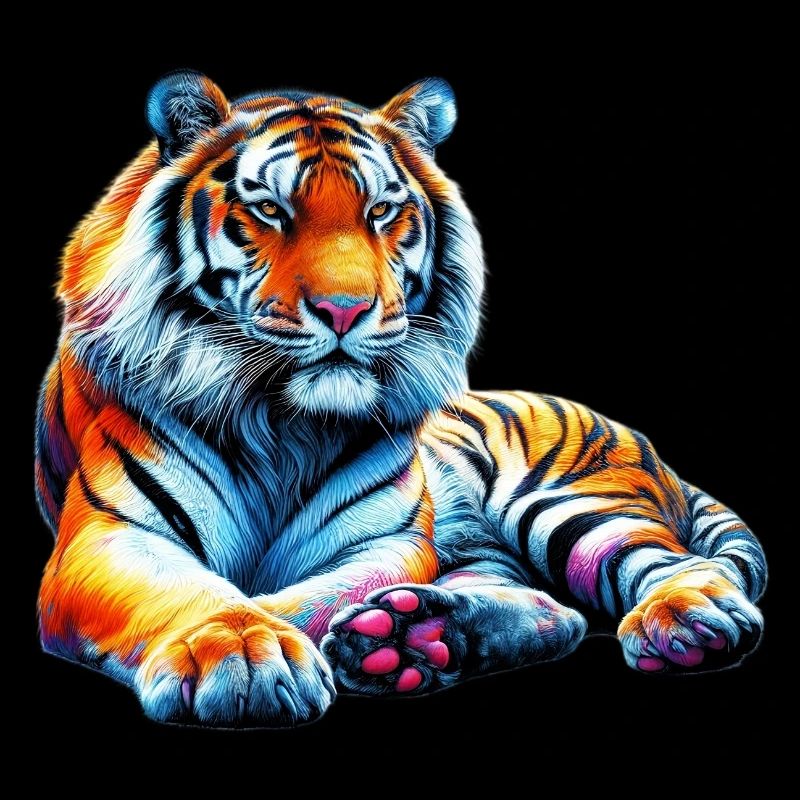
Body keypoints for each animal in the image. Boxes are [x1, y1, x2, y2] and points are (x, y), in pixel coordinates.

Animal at [36, 70, 767, 727]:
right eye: (270, 210)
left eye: (381, 211)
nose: (345, 309)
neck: (280, 424)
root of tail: (645, 442)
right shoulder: (112, 537)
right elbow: (208, 592)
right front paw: (244, 656)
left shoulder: (385, 542)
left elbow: (302, 599)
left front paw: (284, 644)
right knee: (558, 613)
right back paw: (420, 635)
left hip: (569, 502)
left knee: (675, 565)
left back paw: (687, 621)